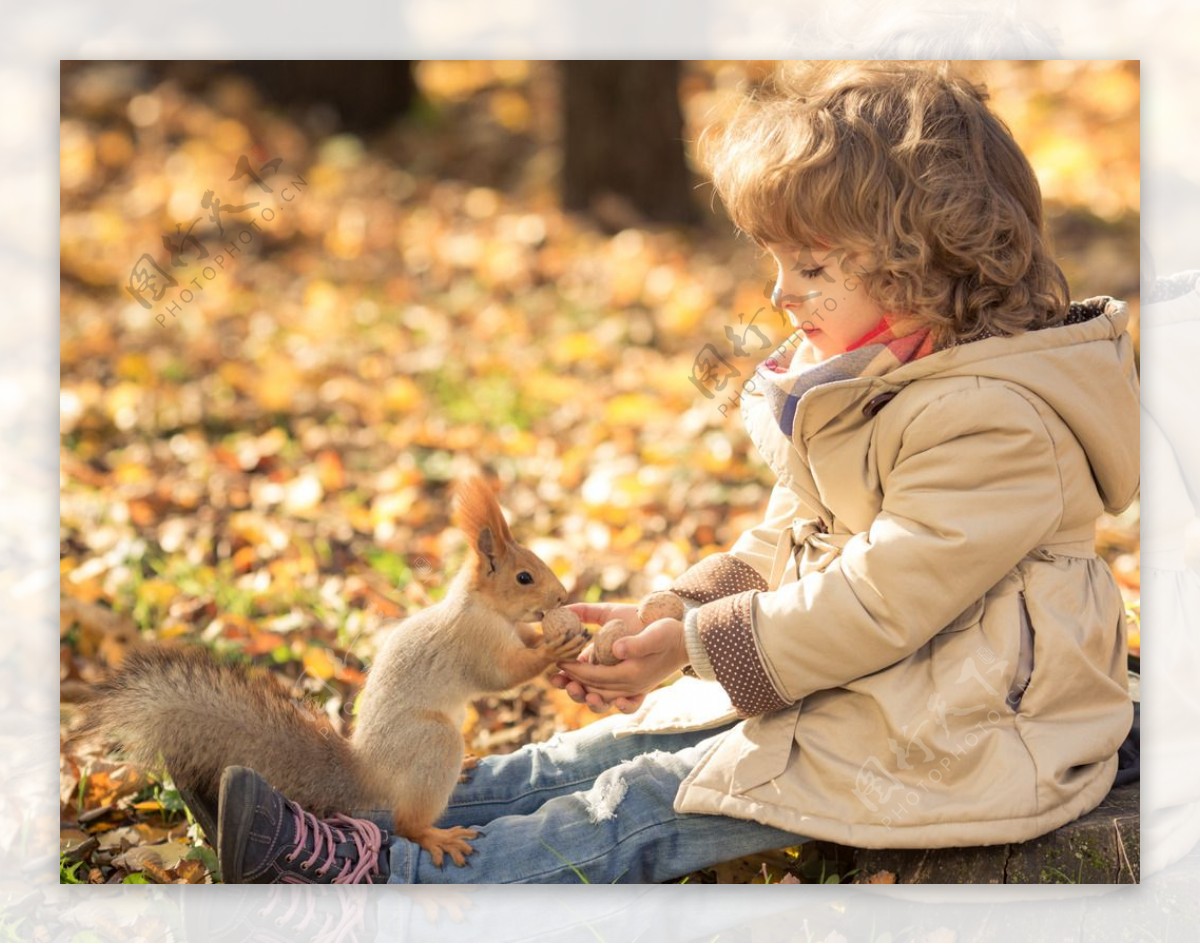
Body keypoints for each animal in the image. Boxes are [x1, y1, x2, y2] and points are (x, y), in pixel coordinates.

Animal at [75, 477, 590, 868]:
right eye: (524, 577)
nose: (563, 597)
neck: (482, 606)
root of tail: (368, 773)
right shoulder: (474, 642)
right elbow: (503, 675)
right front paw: (554, 647)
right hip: (433, 740)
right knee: (406, 824)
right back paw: (435, 836)